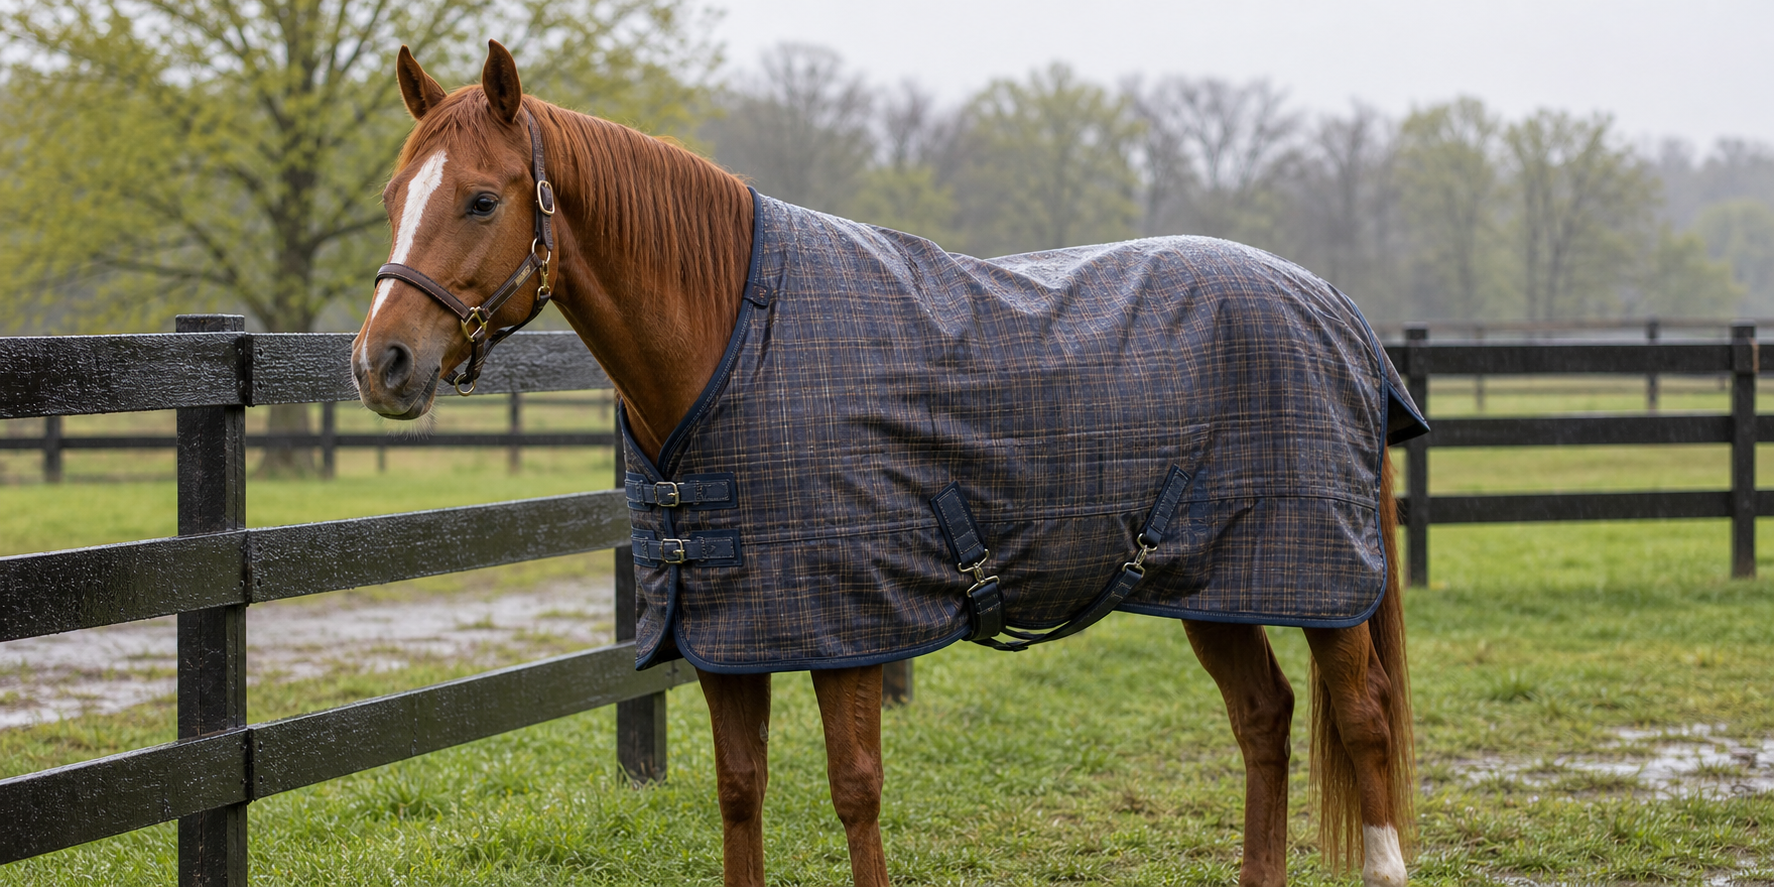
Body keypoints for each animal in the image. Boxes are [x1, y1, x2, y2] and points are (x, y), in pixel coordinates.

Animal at [352, 40, 1418, 887]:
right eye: (394, 196)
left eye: (481, 198)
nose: (380, 363)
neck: (736, 339)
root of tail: (1336, 308)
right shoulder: (731, 633)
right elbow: (740, 790)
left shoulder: (848, 624)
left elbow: (854, 788)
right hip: (1214, 582)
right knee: (1264, 716)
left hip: (1327, 580)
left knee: (1362, 716)